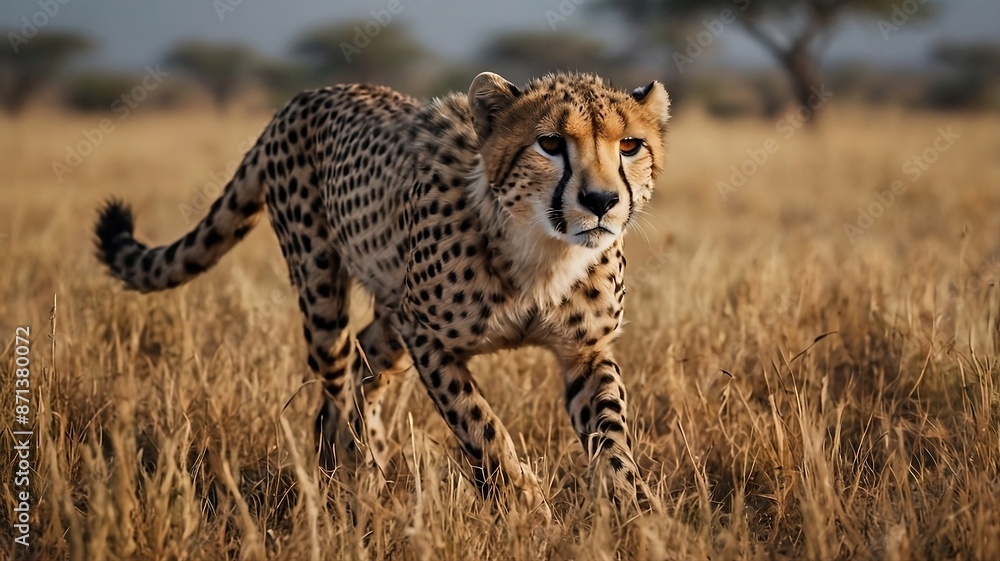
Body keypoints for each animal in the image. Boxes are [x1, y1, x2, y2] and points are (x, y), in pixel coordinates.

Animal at [94, 71, 671, 519]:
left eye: (629, 145)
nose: (601, 201)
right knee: (334, 387)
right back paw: (350, 478)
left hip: (391, 318)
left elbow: (611, 435)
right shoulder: (427, 336)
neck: (542, 248)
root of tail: (308, 96)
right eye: (549, 143)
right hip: (323, 293)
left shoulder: (585, 351)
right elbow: (478, 421)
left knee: (361, 366)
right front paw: (521, 496)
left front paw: (637, 512)